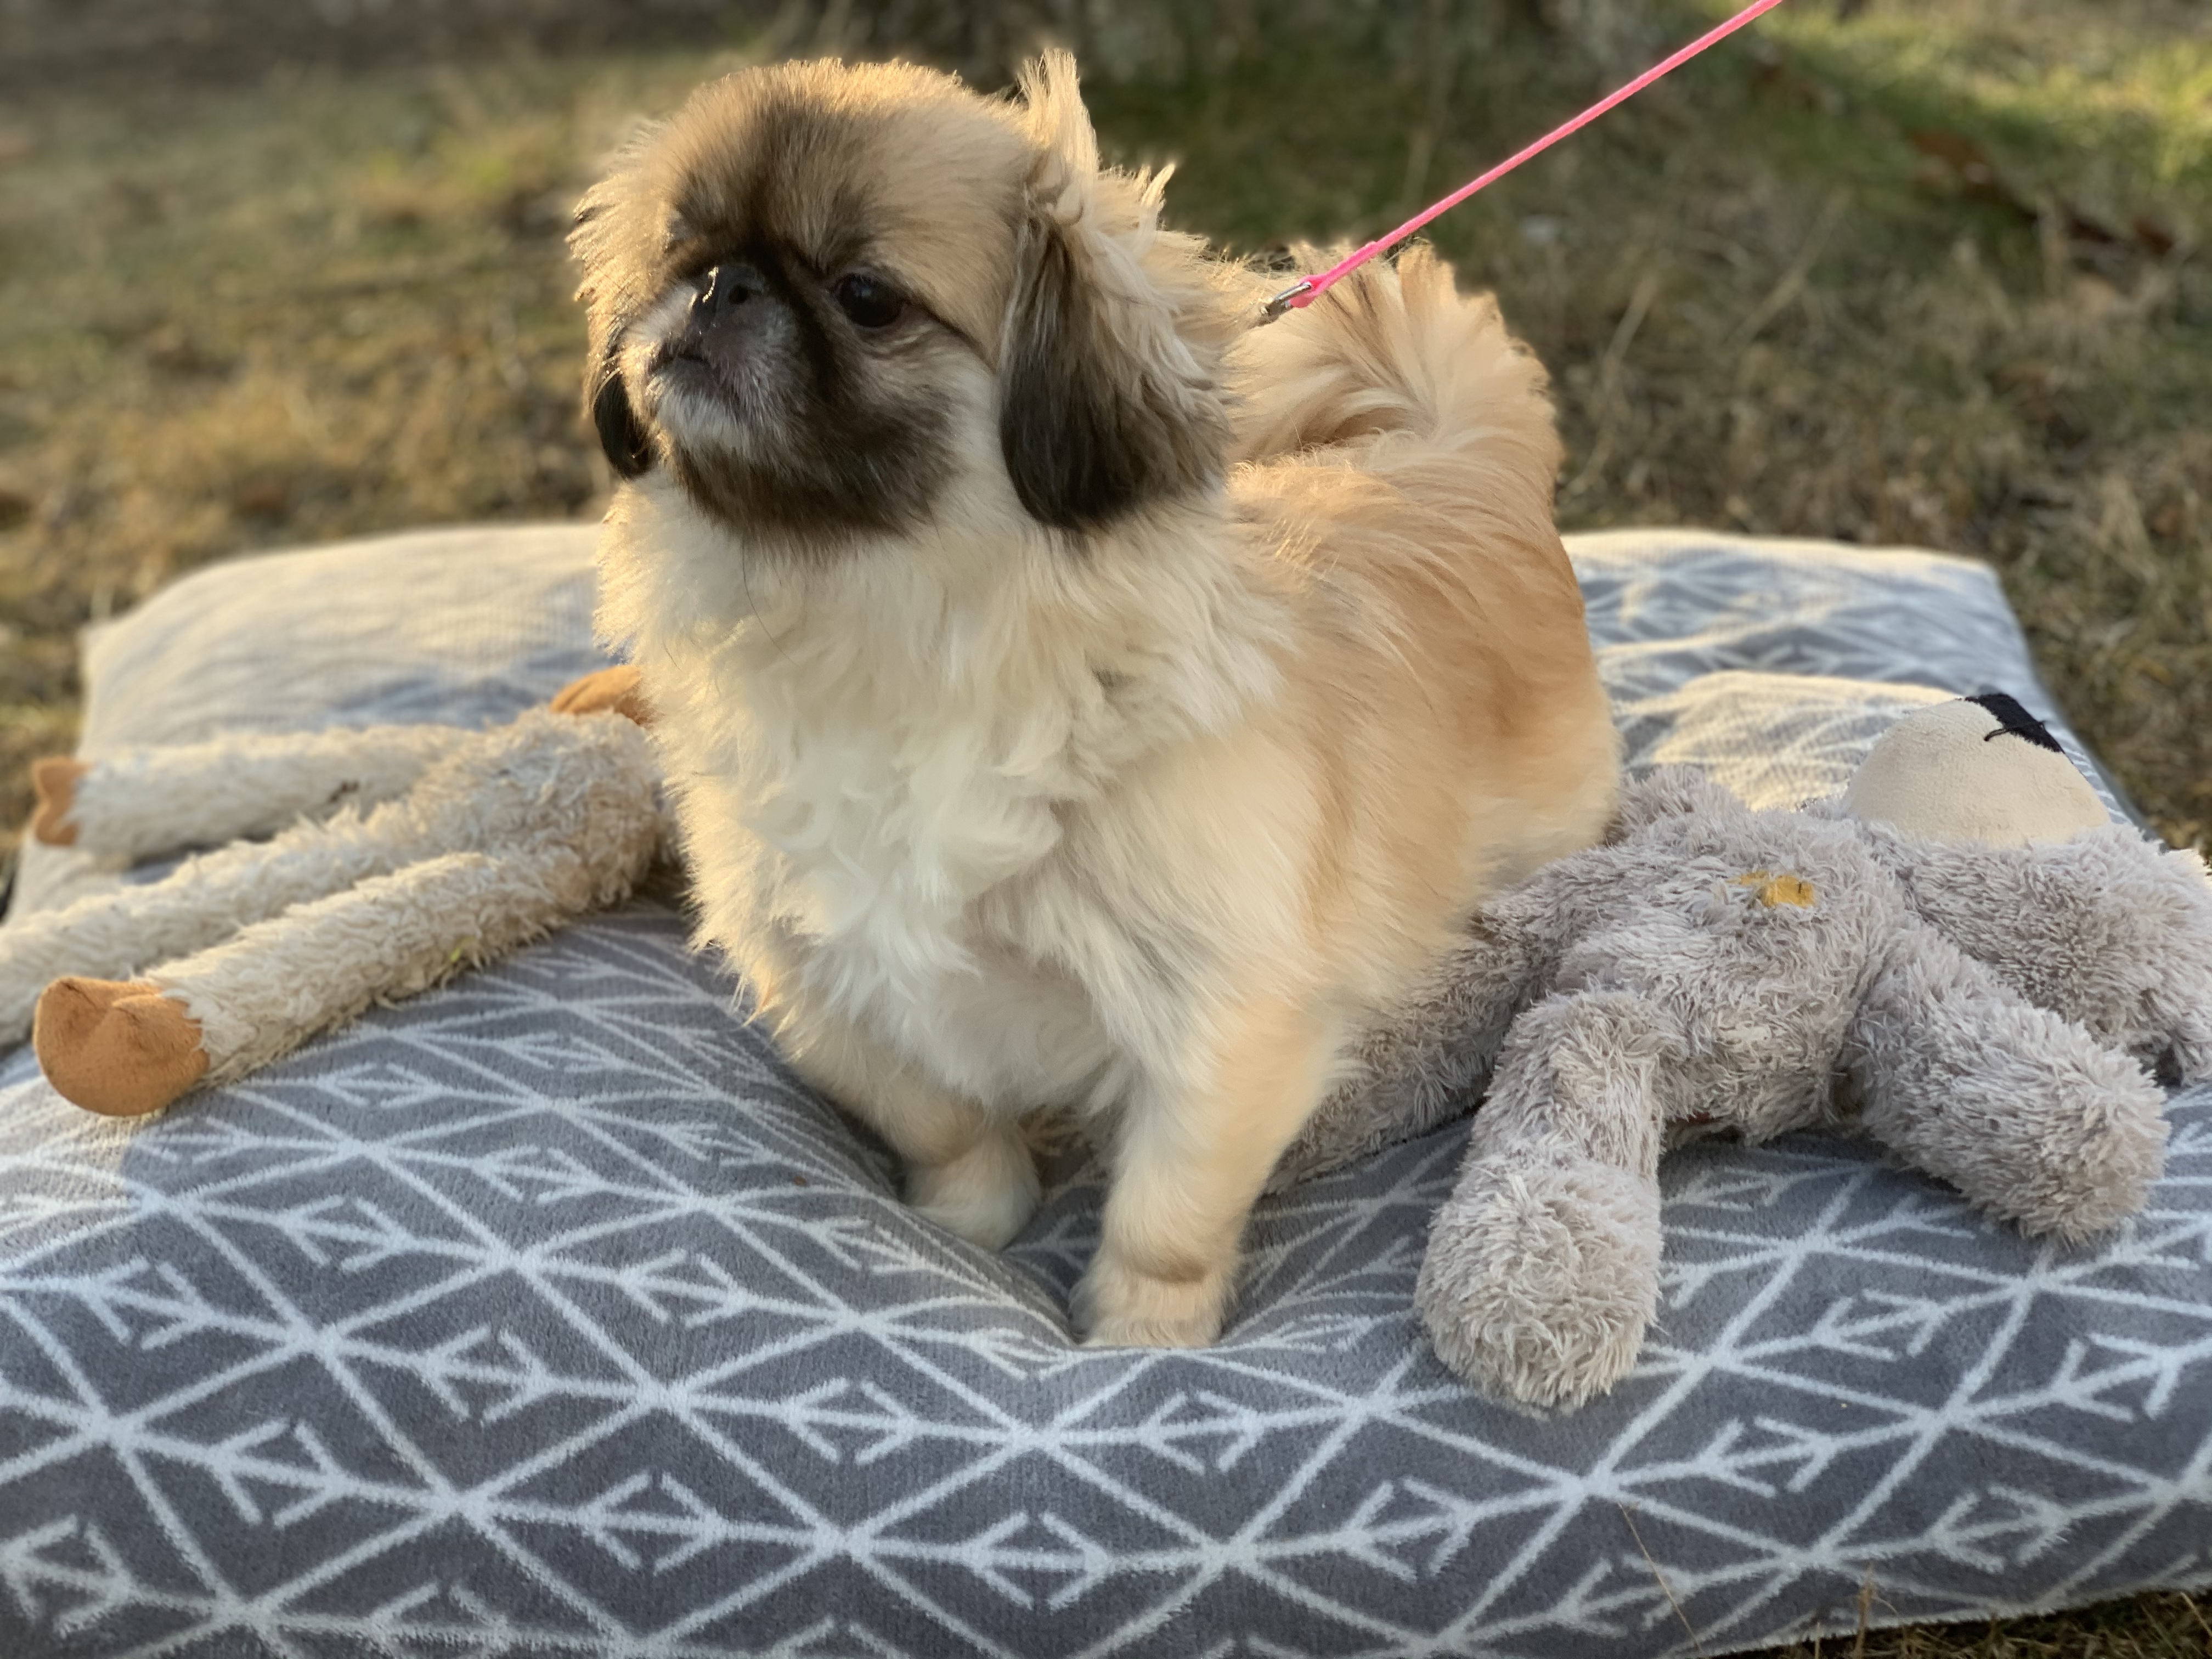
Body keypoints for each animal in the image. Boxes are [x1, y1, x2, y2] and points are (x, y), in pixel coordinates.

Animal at [562, 55, 1619, 1353]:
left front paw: (1137, 1335)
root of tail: (1448, 451)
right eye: (680, 253)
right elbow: (942, 1120)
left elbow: (1165, 1209)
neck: (880, 621)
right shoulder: (829, 980)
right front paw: (968, 1223)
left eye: (866, 296)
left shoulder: (1219, 1024)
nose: (722, 286)